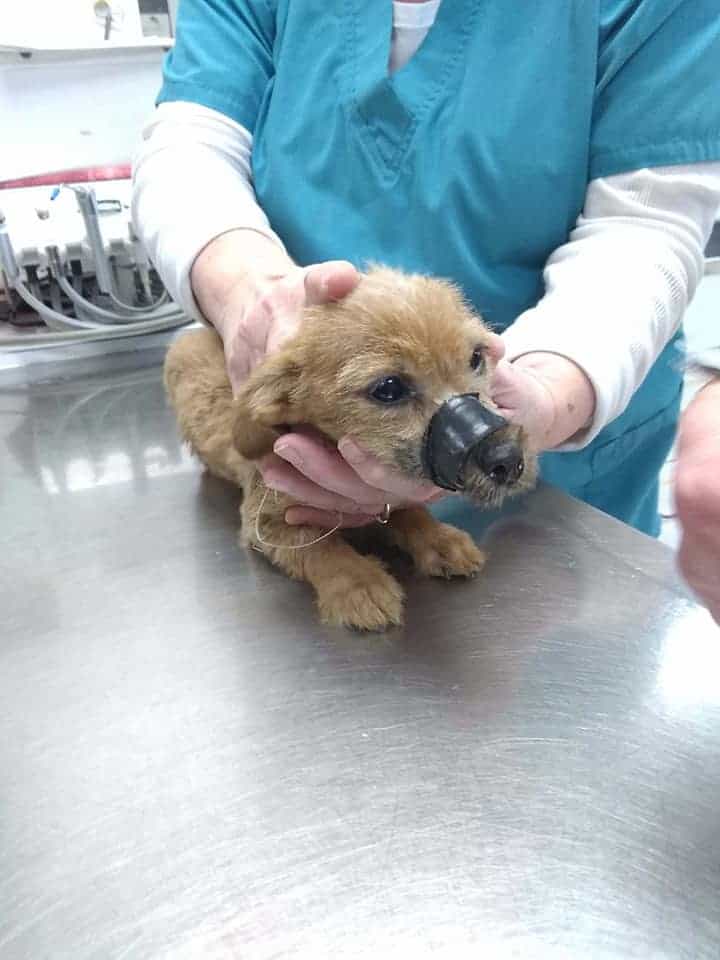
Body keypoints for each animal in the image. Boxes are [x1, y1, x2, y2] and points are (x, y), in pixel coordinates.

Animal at [165, 268, 536, 632]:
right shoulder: (265, 522)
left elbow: (410, 512)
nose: (508, 459)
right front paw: (359, 584)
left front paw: (439, 539)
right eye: (389, 388)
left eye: (476, 357)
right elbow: (321, 547)